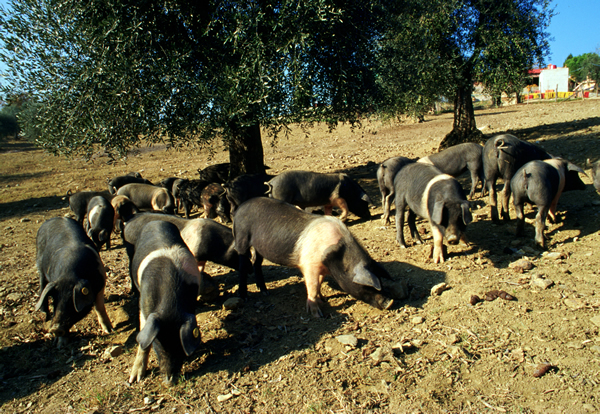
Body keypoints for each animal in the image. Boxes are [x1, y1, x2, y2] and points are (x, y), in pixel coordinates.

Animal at [35, 218, 113, 348]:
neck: (69, 275)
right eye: (55, 301)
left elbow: (99, 307)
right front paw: (60, 344)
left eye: (71, 301)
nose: (55, 329)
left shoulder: (101, 282)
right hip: (40, 264)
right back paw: (45, 314)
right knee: (42, 286)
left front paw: (109, 330)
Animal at [127, 220, 203, 384]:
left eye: (179, 344)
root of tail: (156, 221)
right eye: (157, 341)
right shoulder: (145, 305)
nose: (170, 381)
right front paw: (135, 379)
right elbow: (143, 337)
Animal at [231, 197, 394, 316]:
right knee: (242, 265)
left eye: (380, 282)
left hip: (259, 247)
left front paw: (323, 299)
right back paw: (244, 296)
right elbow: (313, 285)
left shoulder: (321, 266)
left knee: (256, 263)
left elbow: (319, 283)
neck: (334, 256)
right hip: (242, 237)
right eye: (367, 286)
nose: (389, 302)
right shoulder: (309, 265)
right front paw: (317, 314)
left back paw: (264, 291)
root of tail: (240, 207)